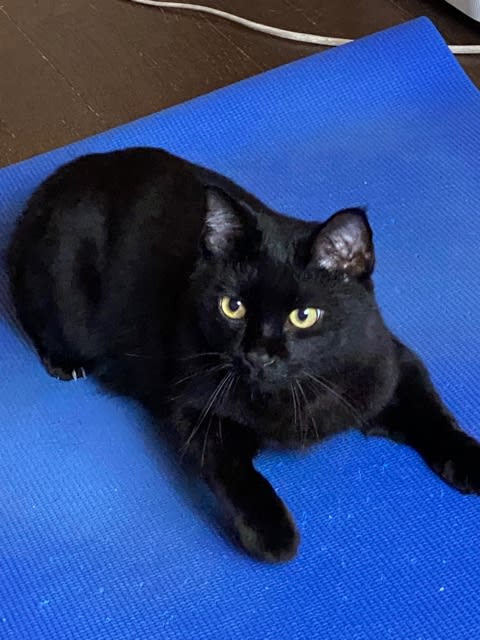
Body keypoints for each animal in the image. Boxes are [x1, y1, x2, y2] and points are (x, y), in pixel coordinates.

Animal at [8, 147, 480, 562]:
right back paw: (65, 362)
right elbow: (236, 474)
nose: (257, 354)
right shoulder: (195, 409)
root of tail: (55, 181)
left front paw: (468, 457)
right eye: (232, 307)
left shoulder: (390, 364)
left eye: (303, 316)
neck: (295, 392)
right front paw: (272, 533)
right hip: (61, 294)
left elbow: (434, 414)